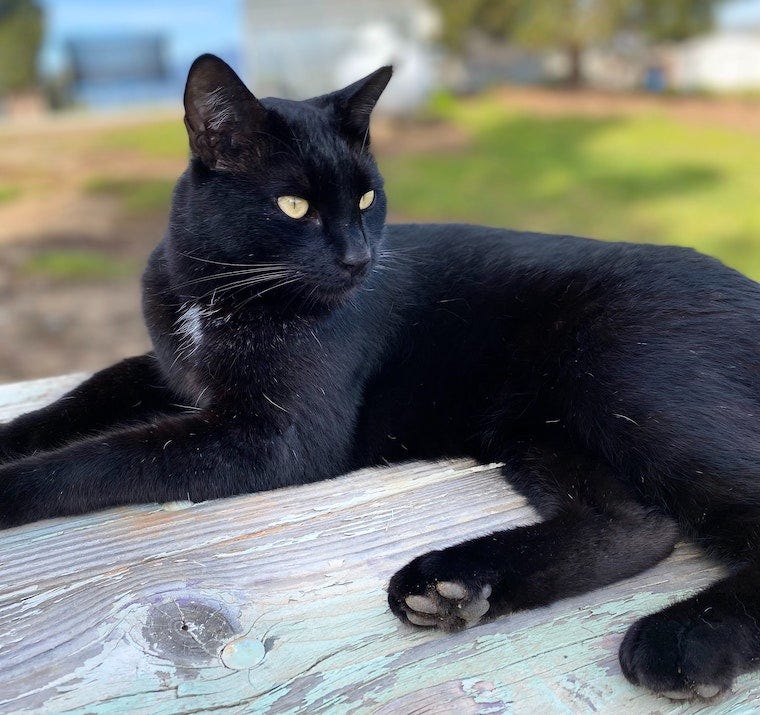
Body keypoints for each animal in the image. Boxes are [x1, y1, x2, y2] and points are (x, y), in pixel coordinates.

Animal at [1, 54, 760, 700]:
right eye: (295, 206)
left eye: (367, 199)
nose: (359, 259)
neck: (213, 293)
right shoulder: (173, 374)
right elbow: (86, 394)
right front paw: (13, 436)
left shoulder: (276, 434)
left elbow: (110, 455)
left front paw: (12, 487)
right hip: (540, 425)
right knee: (636, 525)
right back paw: (452, 586)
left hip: (636, 389)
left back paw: (682, 641)